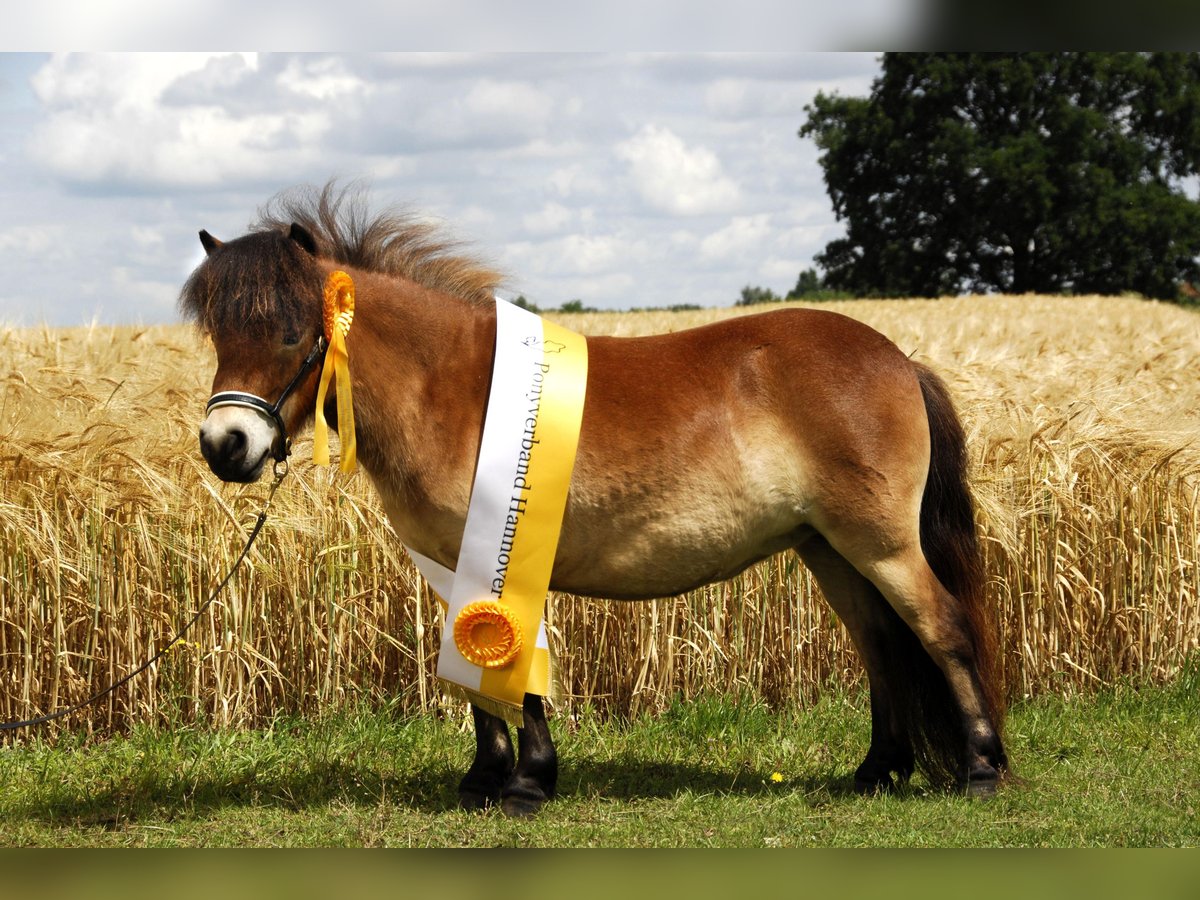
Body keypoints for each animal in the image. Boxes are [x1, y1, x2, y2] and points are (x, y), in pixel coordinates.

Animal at [182, 183, 1008, 816]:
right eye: (218, 333)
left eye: (294, 334)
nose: (226, 444)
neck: (449, 386)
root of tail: (897, 359)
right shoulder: (455, 565)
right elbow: (479, 676)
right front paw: (485, 780)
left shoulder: (503, 559)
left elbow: (518, 669)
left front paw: (526, 784)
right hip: (829, 548)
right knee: (880, 645)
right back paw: (878, 771)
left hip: (882, 545)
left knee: (942, 630)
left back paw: (982, 769)